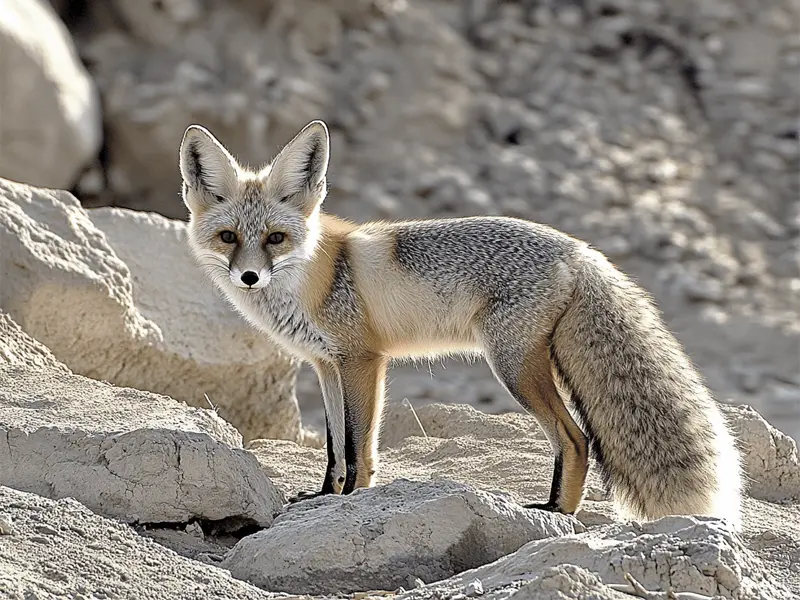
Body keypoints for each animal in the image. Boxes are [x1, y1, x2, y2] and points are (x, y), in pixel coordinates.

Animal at [178, 119, 743, 529]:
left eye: (275, 238)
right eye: (229, 237)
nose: (249, 277)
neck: (313, 275)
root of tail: (580, 249)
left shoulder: (362, 360)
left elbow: (360, 448)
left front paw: (350, 501)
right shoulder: (324, 365)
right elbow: (336, 446)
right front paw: (321, 497)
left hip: (511, 366)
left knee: (576, 438)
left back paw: (556, 512)